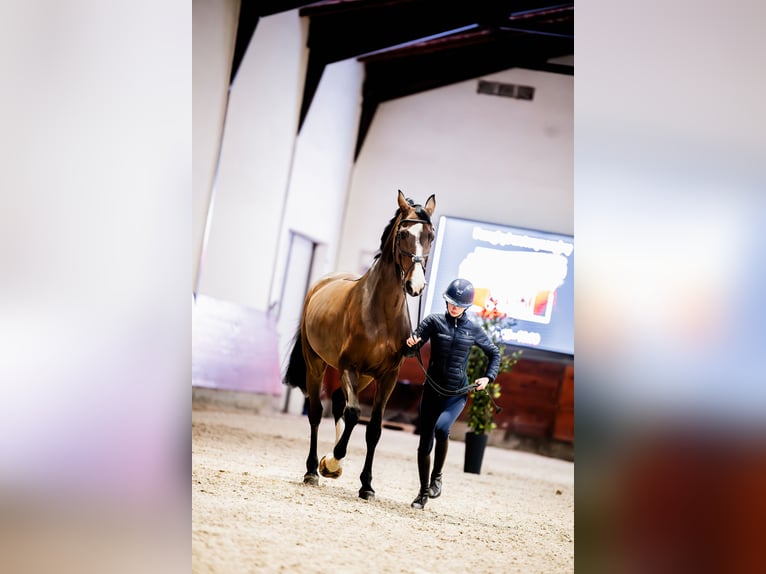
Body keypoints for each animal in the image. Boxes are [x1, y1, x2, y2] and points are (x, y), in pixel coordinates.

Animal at [283, 190, 436, 500]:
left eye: (431, 235)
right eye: (404, 233)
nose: (416, 286)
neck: (380, 312)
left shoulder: (387, 376)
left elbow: (374, 428)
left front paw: (366, 485)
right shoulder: (348, 367)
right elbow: (354, 414)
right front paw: (331, 461)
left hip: (364, 377)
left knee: (338, 401)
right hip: (317, 365)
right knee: (316, 412)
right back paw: (313, 469)